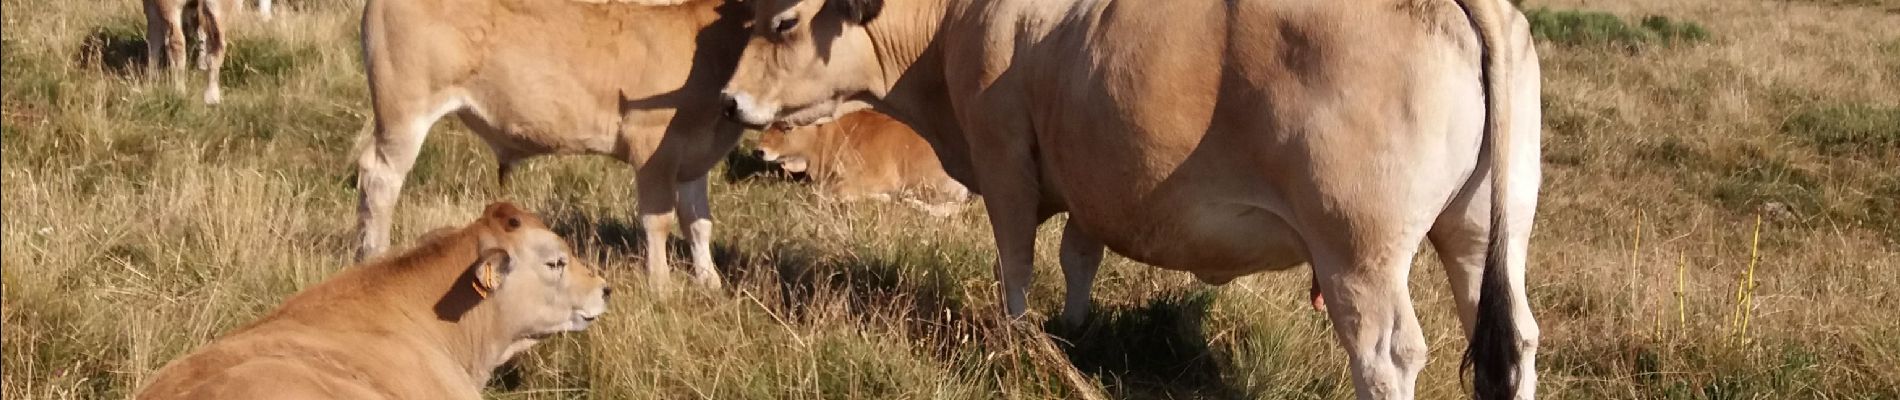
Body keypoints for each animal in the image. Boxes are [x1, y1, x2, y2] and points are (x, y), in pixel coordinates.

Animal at [353, 0, 752, 288]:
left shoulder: (695, 155)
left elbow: (698, 221)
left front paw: (710, 282)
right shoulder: (652, 149)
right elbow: (659, 222)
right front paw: (661, 286)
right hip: (404, 112)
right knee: (380, 179)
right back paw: (374, 256)